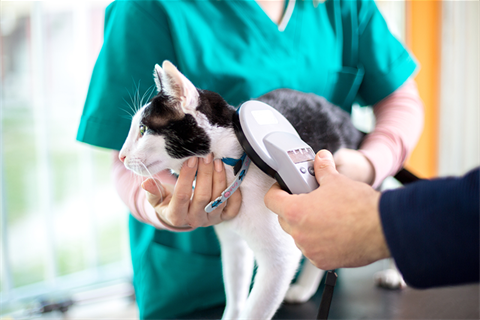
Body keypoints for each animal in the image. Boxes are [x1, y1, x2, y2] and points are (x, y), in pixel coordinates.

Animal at [120, 60, 364, 320]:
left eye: (143, 129)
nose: (121, 155)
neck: (235, 169)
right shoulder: (233, 245)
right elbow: (236, 294)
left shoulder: (280, 261)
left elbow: (255, 310)